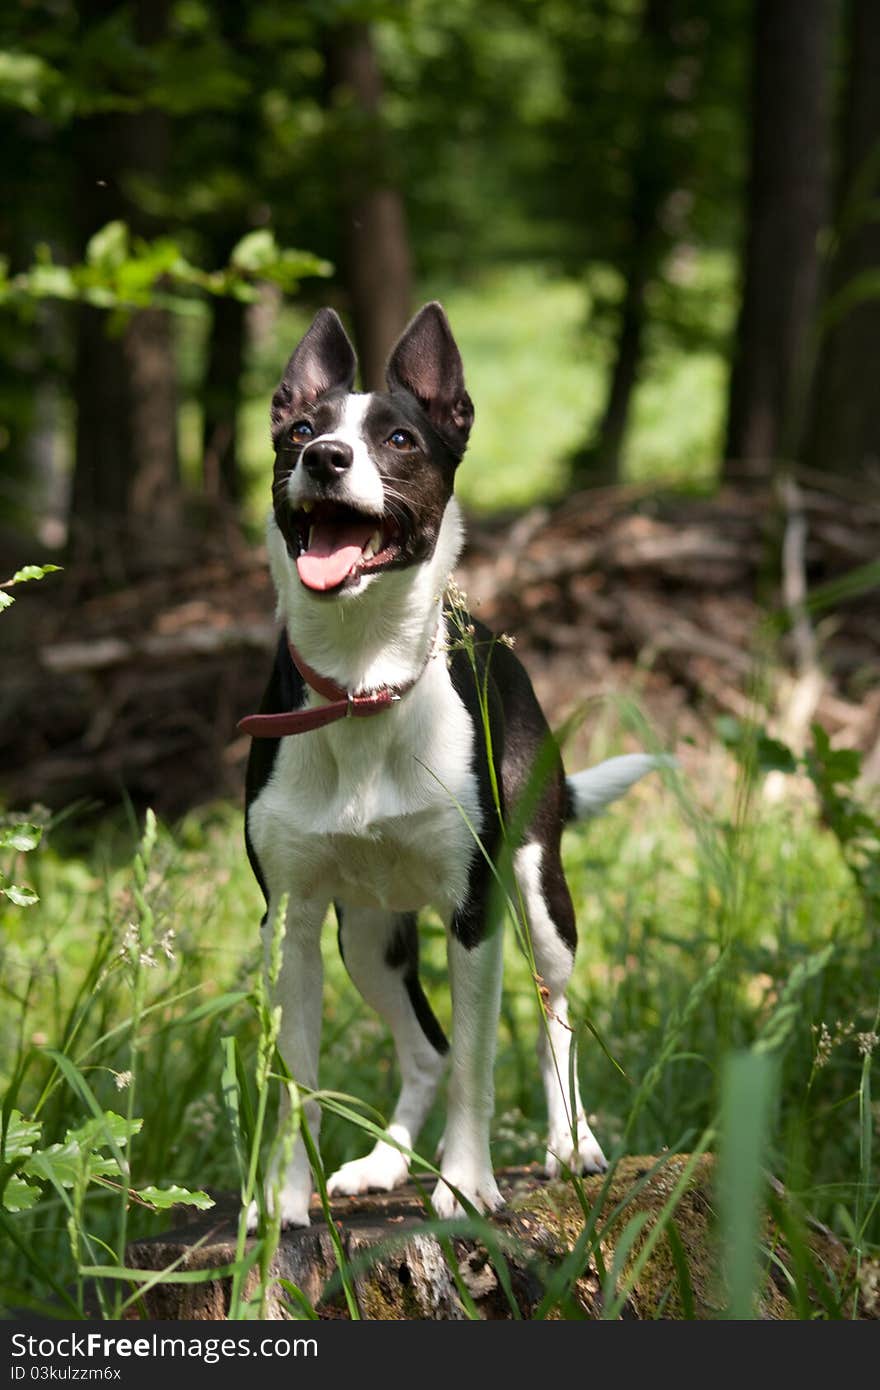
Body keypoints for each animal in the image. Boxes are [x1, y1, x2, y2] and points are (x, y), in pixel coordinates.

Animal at [240, 298, 658, 1223]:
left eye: (399, 439)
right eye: (299, 430)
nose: (325, 460)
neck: (363, 681)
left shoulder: (476, 912)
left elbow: (478, 1061)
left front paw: (466, 1185)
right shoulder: (290, 919)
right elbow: (297, 1081)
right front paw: (281, 1198)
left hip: (539, 892)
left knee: (553, 1016)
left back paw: (571, 1144)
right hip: (366, 934)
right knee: (423, 1045)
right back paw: (383, 1164)